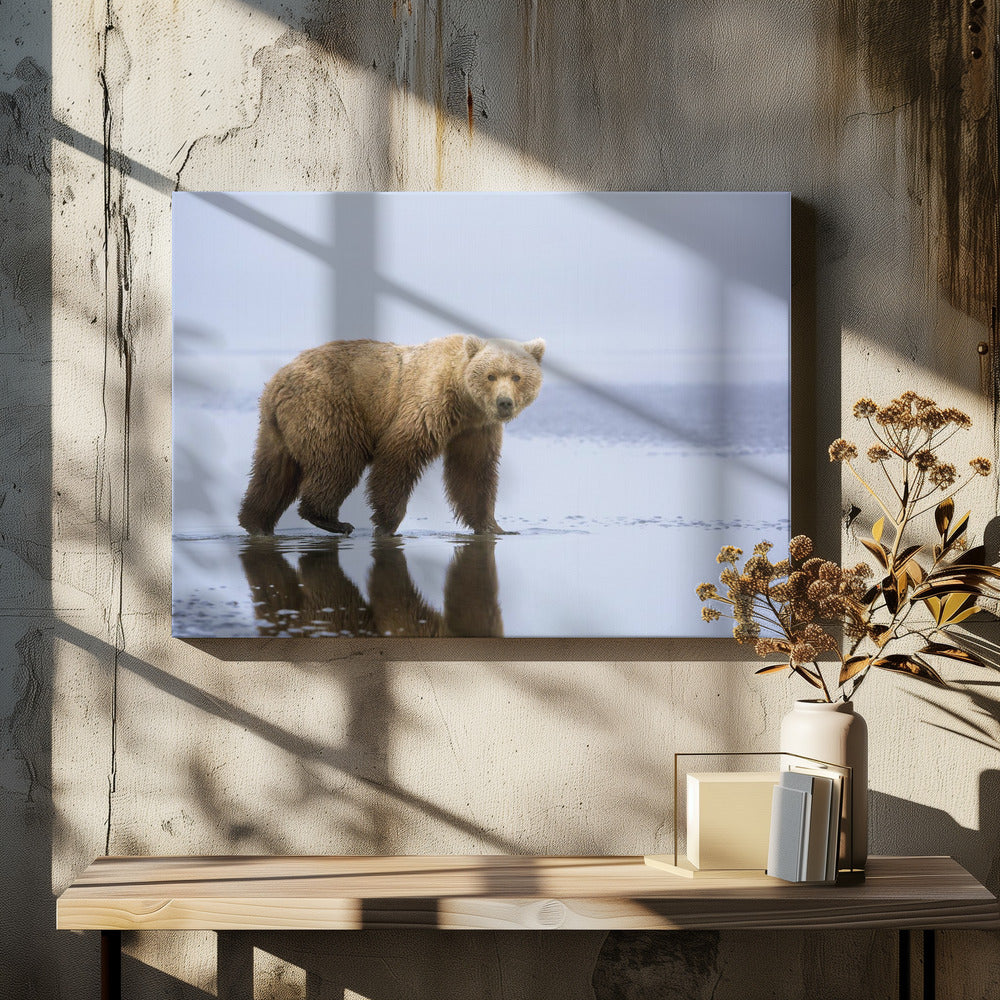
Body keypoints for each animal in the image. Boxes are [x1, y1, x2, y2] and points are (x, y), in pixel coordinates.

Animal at [237, 334, 545, 537]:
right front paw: (387, 523)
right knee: (338, 462)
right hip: (328, 408)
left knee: (272, 473)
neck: (464, 401)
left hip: (277, 429)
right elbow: (399, 456)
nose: (504, 403)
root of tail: (276, 383)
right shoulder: (428, 405)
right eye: (491, 375)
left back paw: (256, 521)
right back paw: (331, 520)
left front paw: (495, 526)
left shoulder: (475, 430)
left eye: (516, 376)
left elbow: (474, 473)